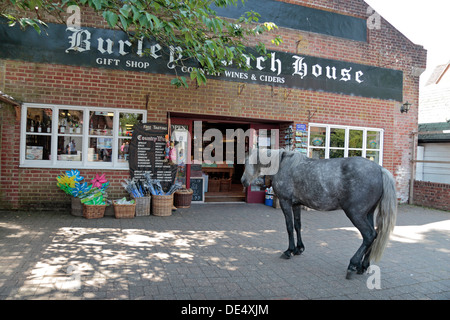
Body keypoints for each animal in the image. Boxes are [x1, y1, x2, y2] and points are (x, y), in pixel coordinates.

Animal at [243, 149, 398, 278]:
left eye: (247, 162)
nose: (243, 181)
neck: (284, 165)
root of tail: (380, 169)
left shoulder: (285, 202)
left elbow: (289, 227)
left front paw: (289, 251)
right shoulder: (296, 204)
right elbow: (297, 226)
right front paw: (299, 249)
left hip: (356, 214)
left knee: (369, 235)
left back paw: (353, 264)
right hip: (368, 213)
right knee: (374, 235)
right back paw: (363, 266)